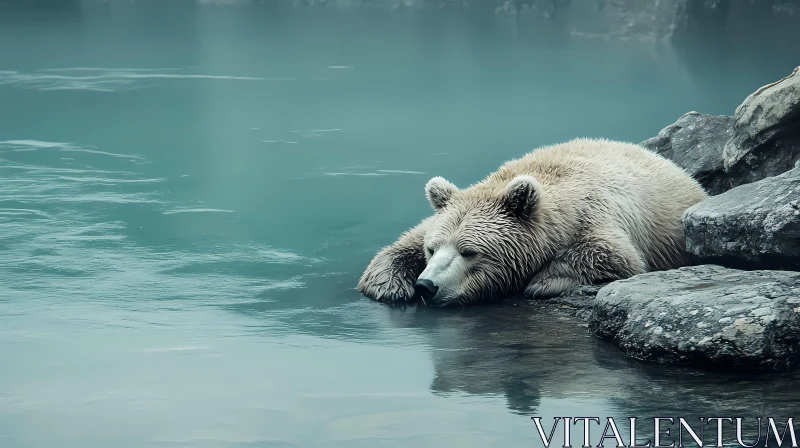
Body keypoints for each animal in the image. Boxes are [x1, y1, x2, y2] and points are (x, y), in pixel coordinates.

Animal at [356, 138, 708, 306]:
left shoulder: (598, 215)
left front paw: (542, 281)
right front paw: (389, 285)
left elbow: (613, 255)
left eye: (469, 252)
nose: (426, 286)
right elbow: (402, 243)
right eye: (432, 249)